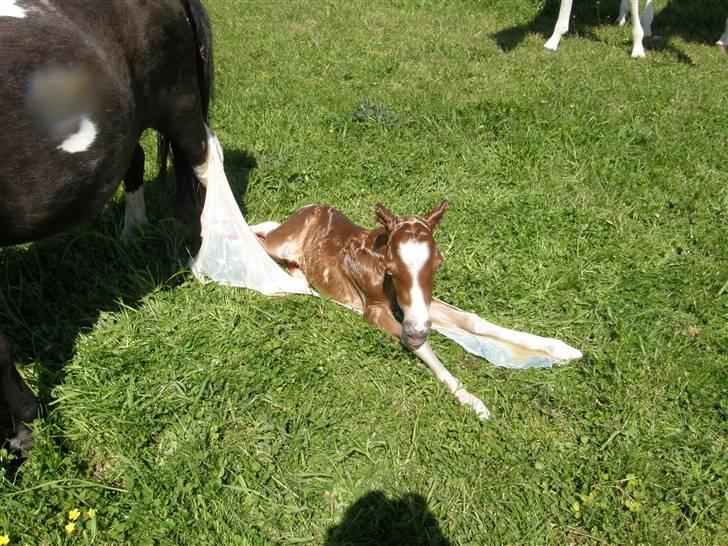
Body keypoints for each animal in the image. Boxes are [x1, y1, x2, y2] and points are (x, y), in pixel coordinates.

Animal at [250, 202, 490, 418]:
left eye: (438, 264)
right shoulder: (374, 309)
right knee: (263, 238)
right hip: (277, 244)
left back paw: (299, 276)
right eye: (391, 268)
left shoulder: (421, 303)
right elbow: (420, 346)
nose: (418, 330)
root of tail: (308, 208)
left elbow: (470, 319)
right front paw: (471, 400)